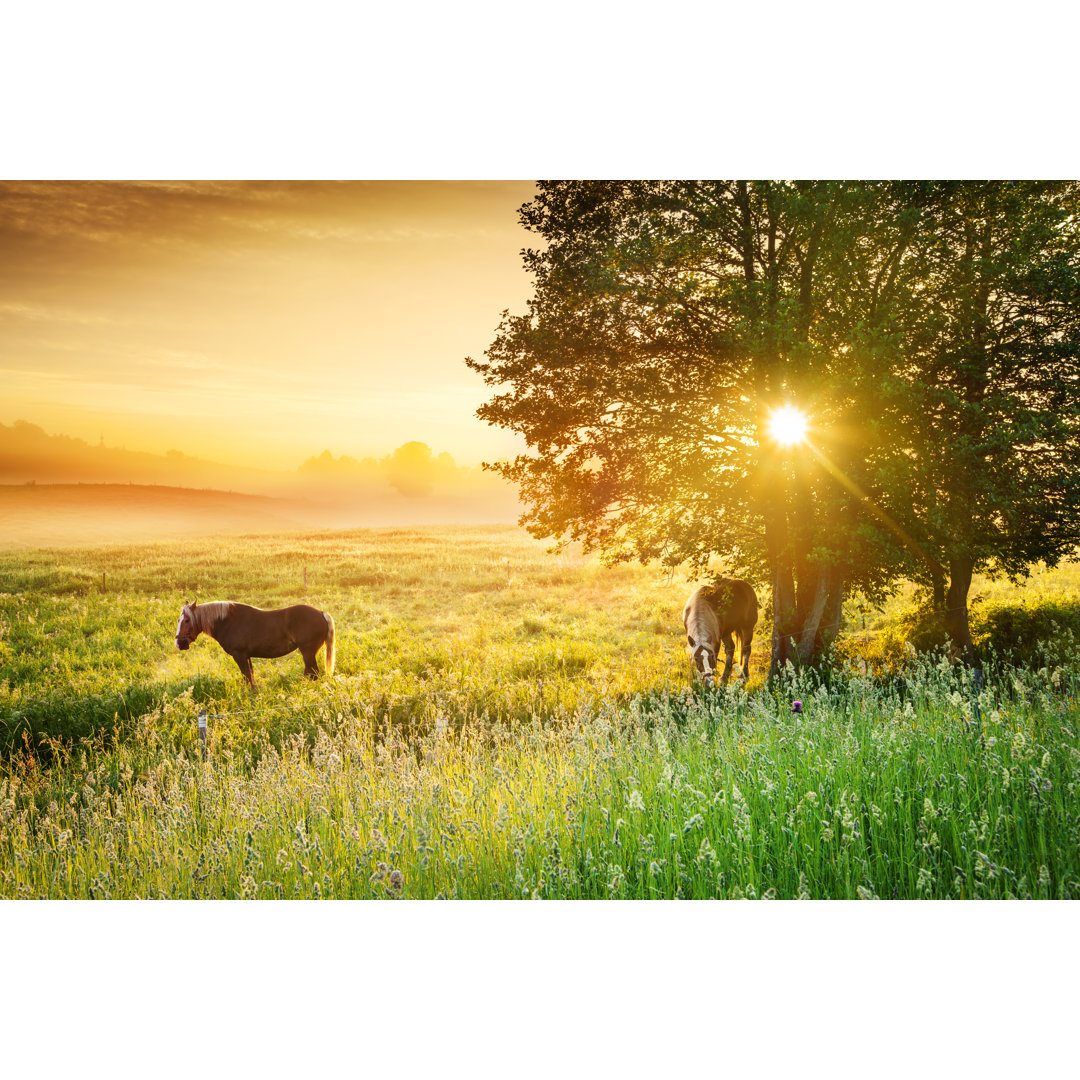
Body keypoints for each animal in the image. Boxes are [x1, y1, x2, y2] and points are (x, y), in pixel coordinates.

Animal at [174, 600, 334, 682]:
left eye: (187, 620)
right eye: (178, 620)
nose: (179, 643)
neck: (228, 622)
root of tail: (321, 613)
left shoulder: (239, 656)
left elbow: (247, 677)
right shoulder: (247, 656)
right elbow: (250, 675)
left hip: (307, 651)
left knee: (313, 673)